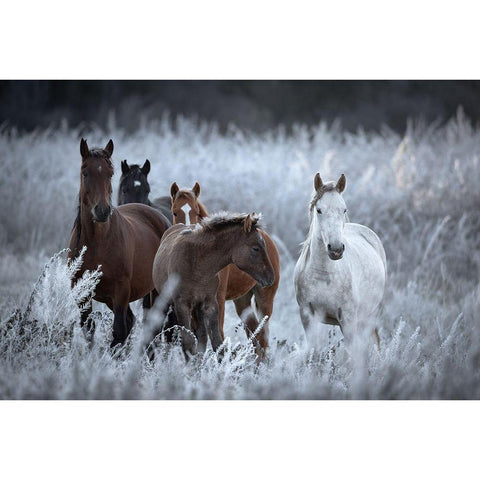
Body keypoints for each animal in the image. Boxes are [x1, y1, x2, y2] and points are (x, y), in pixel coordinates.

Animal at [68, 138, 171, 344]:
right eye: (85, 172)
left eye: (110, 173)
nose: (102, 211)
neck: (97, 243)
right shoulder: (82, 294)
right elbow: (89, 330)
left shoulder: (121, 292)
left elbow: (118, 331)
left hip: (156, 291)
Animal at [154, 213, 274, 356]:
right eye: (255, 248)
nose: (270, 277)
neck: (198, 265)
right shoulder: (182, 305)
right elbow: (188, 343)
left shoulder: (210, 304)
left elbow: (217, 343)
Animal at [170, 182, 280, 358]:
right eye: (175, 211)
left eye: (196, 211)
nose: (186, 229)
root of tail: (269, 240)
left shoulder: (218, 299)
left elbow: (218, 335)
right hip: (242, 300)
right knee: (254, 333)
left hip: (265, 298)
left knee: (263, 336)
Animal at [292, 172, 386, 344]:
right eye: (319, 210)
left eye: (344, 209)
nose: (336, 250)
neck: (323, 275)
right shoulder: (307, 317)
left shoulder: (348, 320)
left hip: (370, 316)